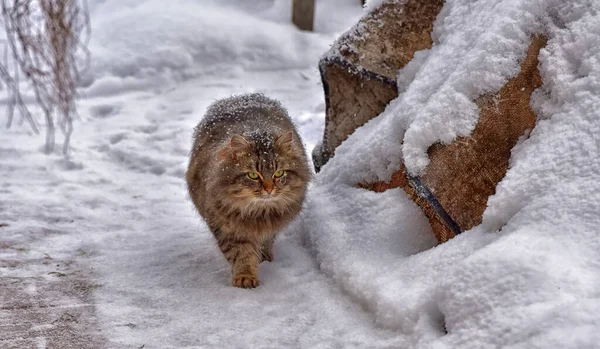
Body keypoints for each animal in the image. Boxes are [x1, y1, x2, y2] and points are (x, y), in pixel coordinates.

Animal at [186, 92, 310, 288]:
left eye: (279, 173)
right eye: (253, 175)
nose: (269, 189)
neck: (259, 213)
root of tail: (241, 96)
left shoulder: (271, 225)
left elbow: (265, 241)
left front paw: (263, 258)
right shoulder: (227, 227)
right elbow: (241, 254)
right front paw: (245, 277)